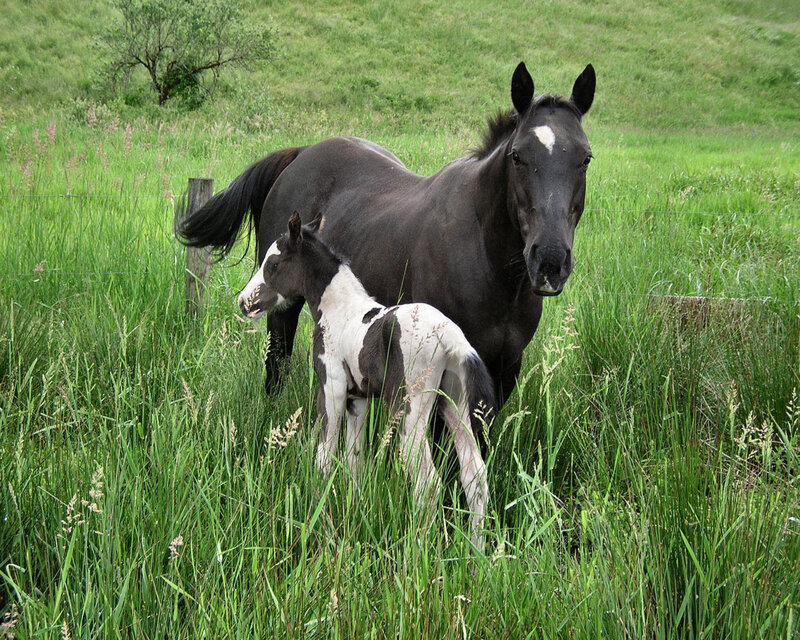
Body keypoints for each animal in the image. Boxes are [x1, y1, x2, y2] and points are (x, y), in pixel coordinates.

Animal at [180, 61, 595, 407]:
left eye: (585, 158)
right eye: (518, 157)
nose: (550, 260)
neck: (488, 263)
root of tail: (300, 154)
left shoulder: (505, 366)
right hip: (281, 307)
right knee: (275, 366)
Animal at [238, 211, 494, 548]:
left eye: (273, 264)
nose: (243, 302)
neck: (338, 309)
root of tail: (451, 337)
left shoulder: (331, 388)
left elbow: (324, 456)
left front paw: (318, 515)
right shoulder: (358, 399)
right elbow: (354, 459)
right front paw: (354, 508)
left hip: (410, 410)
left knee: (427, 483)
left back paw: (418, 548)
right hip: (455, 404)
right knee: (474, 475)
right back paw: (477, 551)